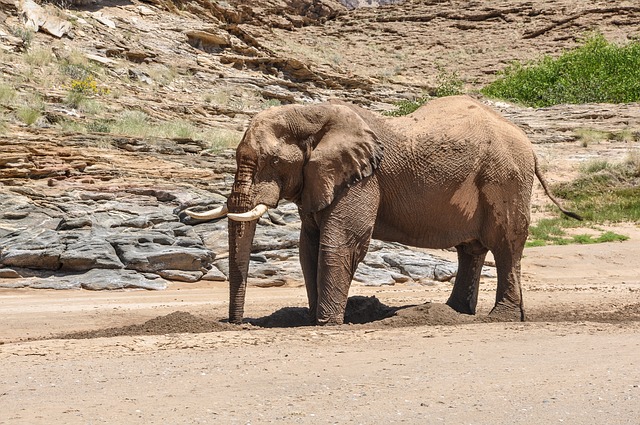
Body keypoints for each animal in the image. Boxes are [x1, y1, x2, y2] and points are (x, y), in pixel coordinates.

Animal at [186, 95, 580, 324]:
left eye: (271, 162)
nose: (237, 323)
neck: (313, 114)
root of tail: (529, 147)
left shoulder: (364, 177)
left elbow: (341, 241)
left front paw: (328, 324)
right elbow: (308, 246)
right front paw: (315, 319)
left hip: (505, 179)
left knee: (505, 244)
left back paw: (501, 318)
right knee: (471, 249)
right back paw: (453, 314)